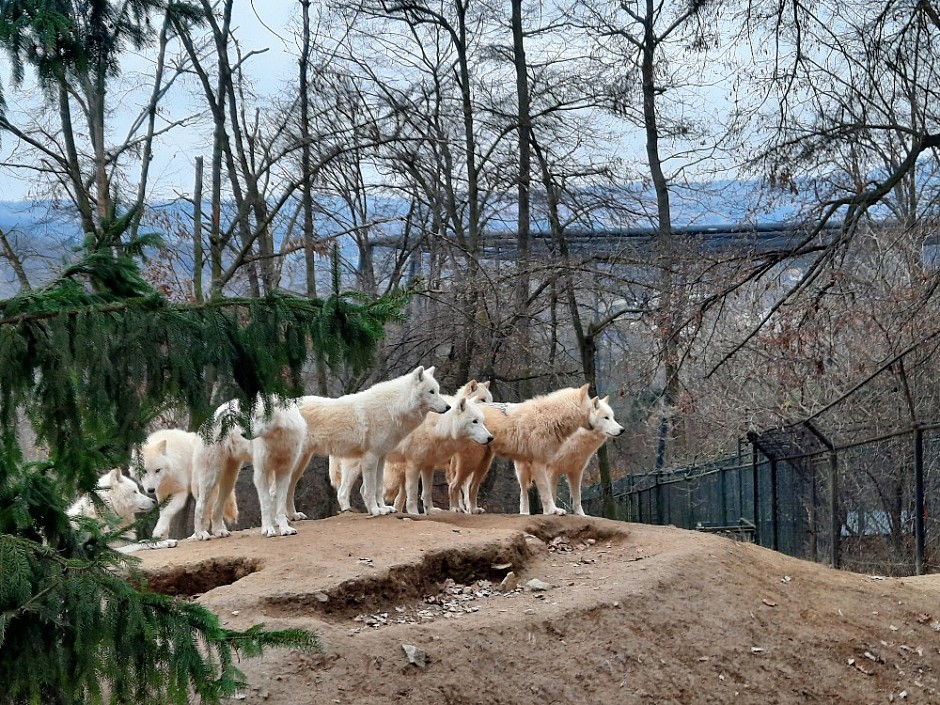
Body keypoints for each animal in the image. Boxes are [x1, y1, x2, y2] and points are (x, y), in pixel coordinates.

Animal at [292, 366, 450, 516]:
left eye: (437, 390)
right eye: (431, 392)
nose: (448, 407)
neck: (391, 408)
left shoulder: (381, 457)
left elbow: (378, 487)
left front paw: (384, 508)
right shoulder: (371, 457)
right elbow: (370, 489)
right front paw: (375, 510)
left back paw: (294, 515)